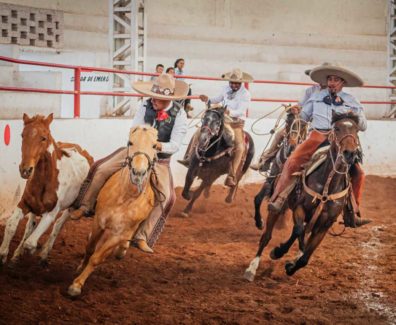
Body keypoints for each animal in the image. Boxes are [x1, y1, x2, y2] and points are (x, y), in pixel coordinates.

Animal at [0, 112, 93, 264]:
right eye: (22, 135)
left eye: (43, 138)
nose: (25, 170)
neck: (47, 180)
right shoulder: (25, 204)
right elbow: (11, 225)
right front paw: (4, 253)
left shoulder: (51, 213)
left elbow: (30, 242)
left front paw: (33, 251)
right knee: (29, 226)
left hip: (72, 207)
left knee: (58, 225)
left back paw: (44, 254)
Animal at [68, 124, 159, 296]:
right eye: (130, 142)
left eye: (154, 146)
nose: (138, 173)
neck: (125, 197)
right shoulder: (99, 222)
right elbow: (90, 248)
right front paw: (80, 268)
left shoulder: (118, 234)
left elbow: (97, 258)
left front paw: (77, 285)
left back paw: (123, 250)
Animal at [244, 112, 362, 280]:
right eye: (337, 128)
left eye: (356, 130)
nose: (350, 153)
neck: (328, 185)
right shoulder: (300, 208)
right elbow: (298, 230)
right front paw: (277, 252)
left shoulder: (325, 223)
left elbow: (306, 256)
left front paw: (291, 266)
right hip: (277, 203)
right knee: (267, 236)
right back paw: (252, 267)